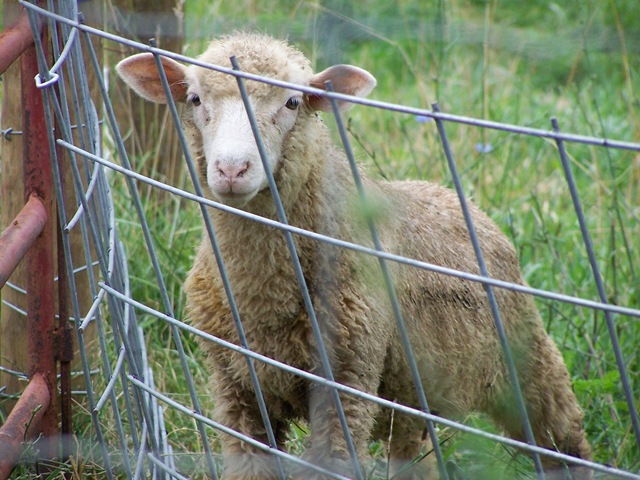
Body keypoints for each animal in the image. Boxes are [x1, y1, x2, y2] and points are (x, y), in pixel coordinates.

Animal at [116, 32, 591, 479]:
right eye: (195, 99)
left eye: (292, 102)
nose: (232, 170)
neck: (263, 299)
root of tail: (454, 195)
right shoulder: (237, 389)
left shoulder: (345, 386)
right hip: (412, 397)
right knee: (413, 454)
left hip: (528, 362)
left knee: (563, 438)